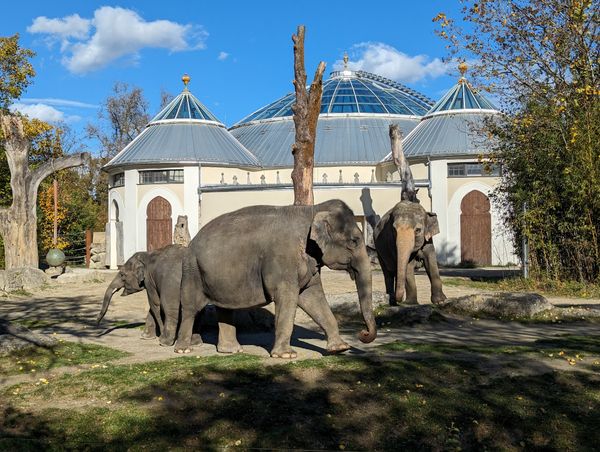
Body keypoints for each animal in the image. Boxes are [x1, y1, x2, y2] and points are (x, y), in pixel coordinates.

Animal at [172, 200, 376, 356]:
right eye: (354, 241)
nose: (362, 333)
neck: (313, 209)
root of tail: (191, 242)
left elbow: (312, 296)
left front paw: (340, 348)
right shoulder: (282, 258)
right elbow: (287, 297)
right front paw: (286, 355)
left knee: (225, 308)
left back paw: (232, 350)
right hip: (192, 269)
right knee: (190, 307)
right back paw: (183, 350)